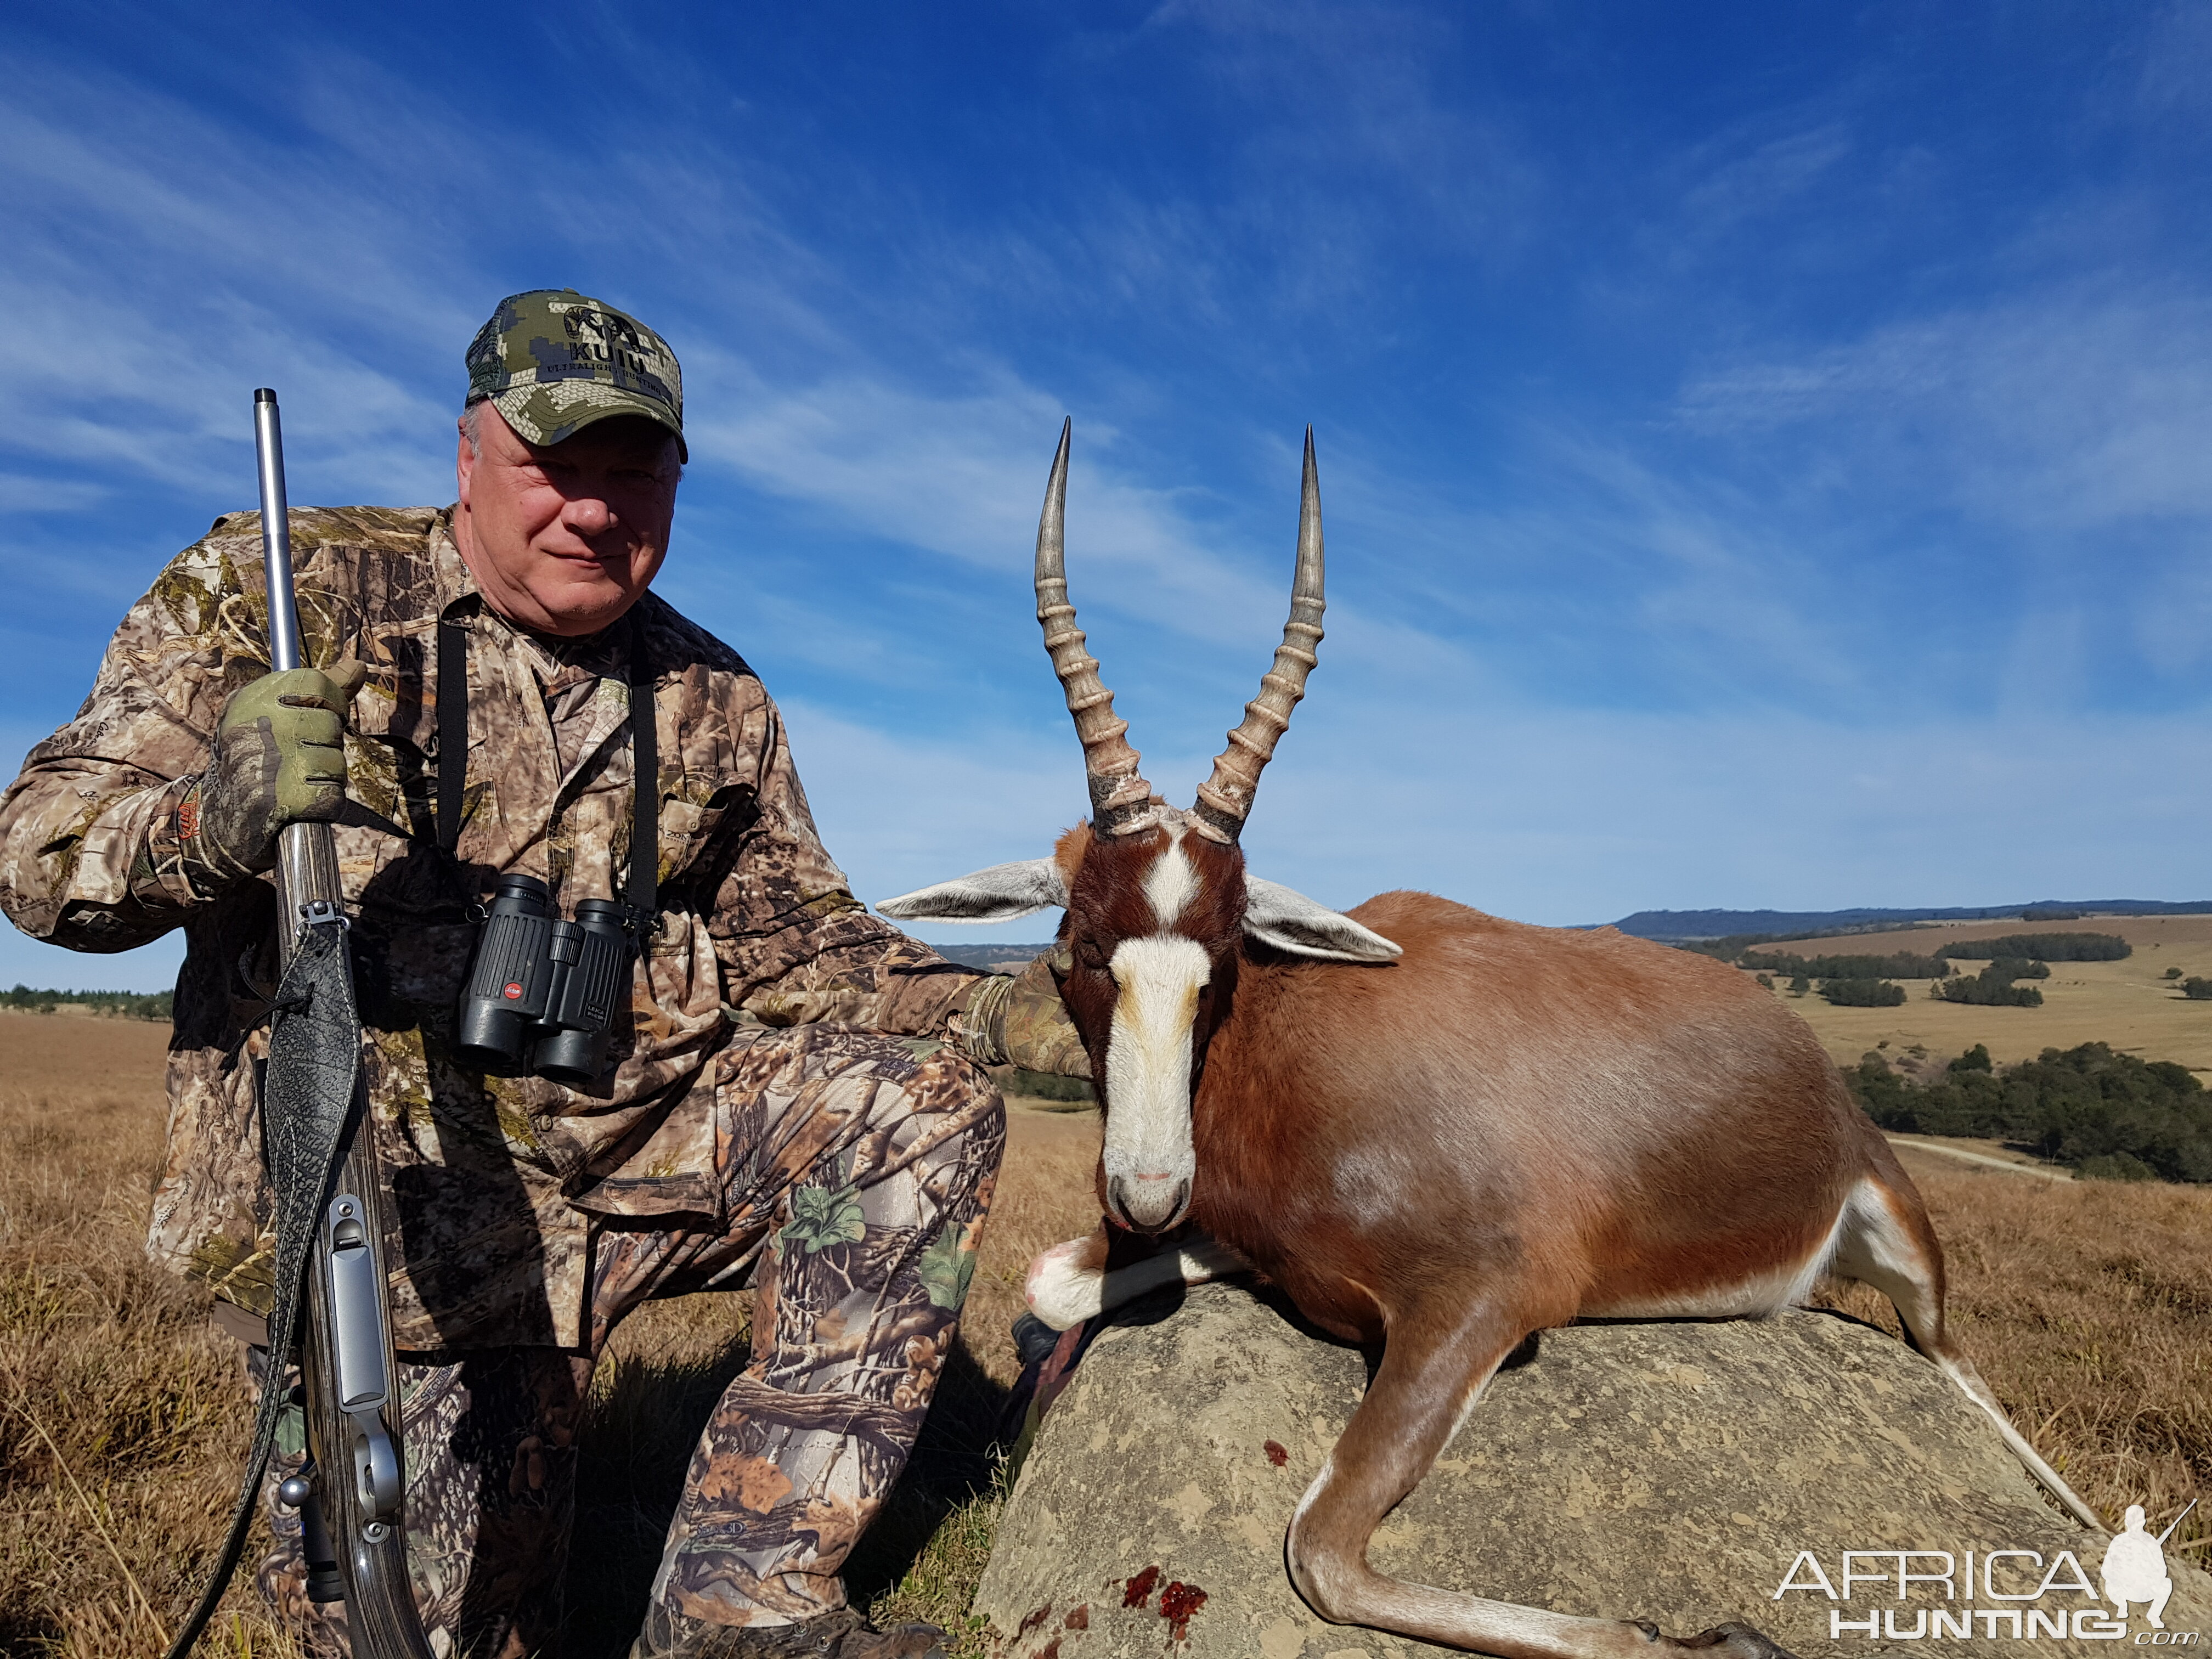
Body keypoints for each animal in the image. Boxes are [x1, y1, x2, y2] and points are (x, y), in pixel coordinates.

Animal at [871, 422, 2097, 1654]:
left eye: (1225, 949)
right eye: (1081, 944)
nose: (1148, 1188)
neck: (1300, 1048)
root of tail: (1816, 1070)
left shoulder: (1485, 1305)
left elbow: (1321, 1554)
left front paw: (1721, 1633)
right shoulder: (1256, 1246)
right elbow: (1051, 1285)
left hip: (1910, 1259)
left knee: (1955, 1363)